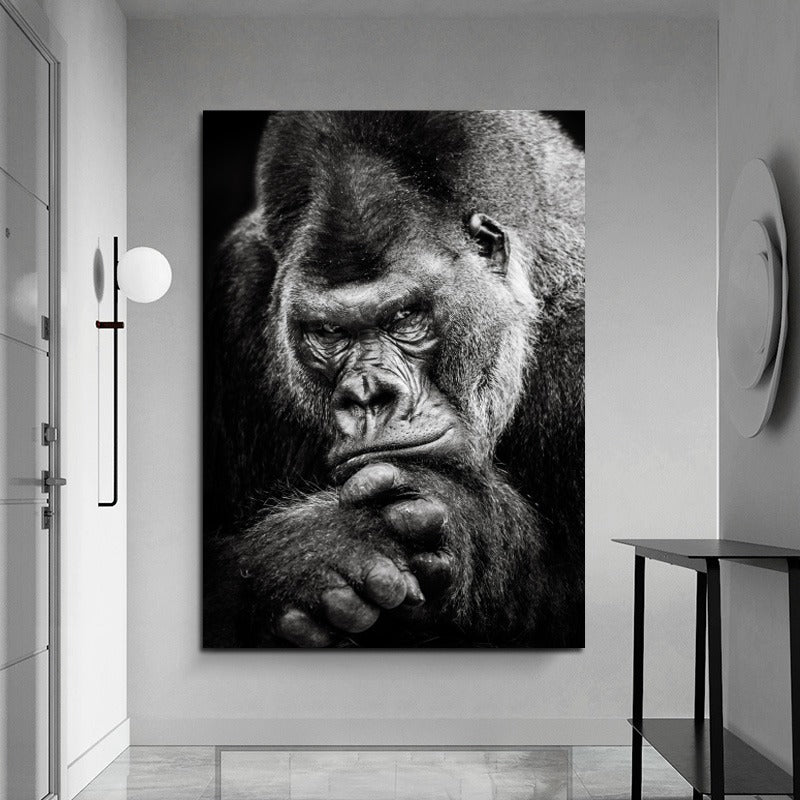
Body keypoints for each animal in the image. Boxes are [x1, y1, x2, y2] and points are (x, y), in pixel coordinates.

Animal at [203, 110, 584, 648]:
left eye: (405, 316)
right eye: (328, 331)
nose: (368, 395)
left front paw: (464, 522)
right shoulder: (237, 290)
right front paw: (312, 554)